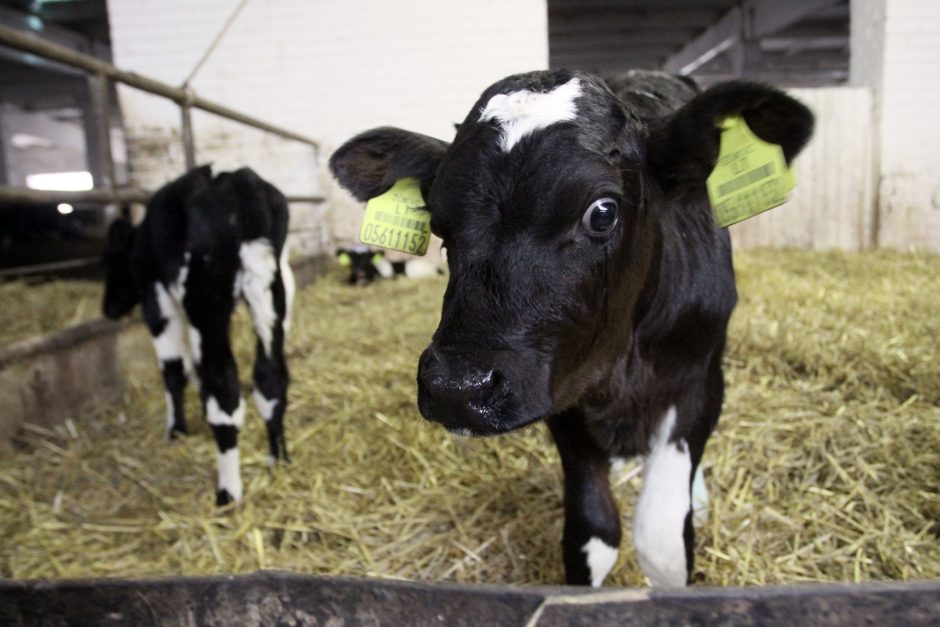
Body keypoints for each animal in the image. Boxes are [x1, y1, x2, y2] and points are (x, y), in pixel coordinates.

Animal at [103, 166, 296, 506]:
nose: (108, 309)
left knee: (226, 393)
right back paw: (278, 460)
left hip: (206, 301)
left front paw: (176, 428)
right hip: (270, 291)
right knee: (271, 379)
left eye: (108, 262)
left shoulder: (156, 297)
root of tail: (240, 180)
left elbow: (173, 369)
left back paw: (228, 492)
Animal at [328, 70, 808, 588]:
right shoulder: (563, 391)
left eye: (602, 211)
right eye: (438, 223)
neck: (621, 362)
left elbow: (661, 539)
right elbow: (591, 532)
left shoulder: (698, 379)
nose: (457, 388)